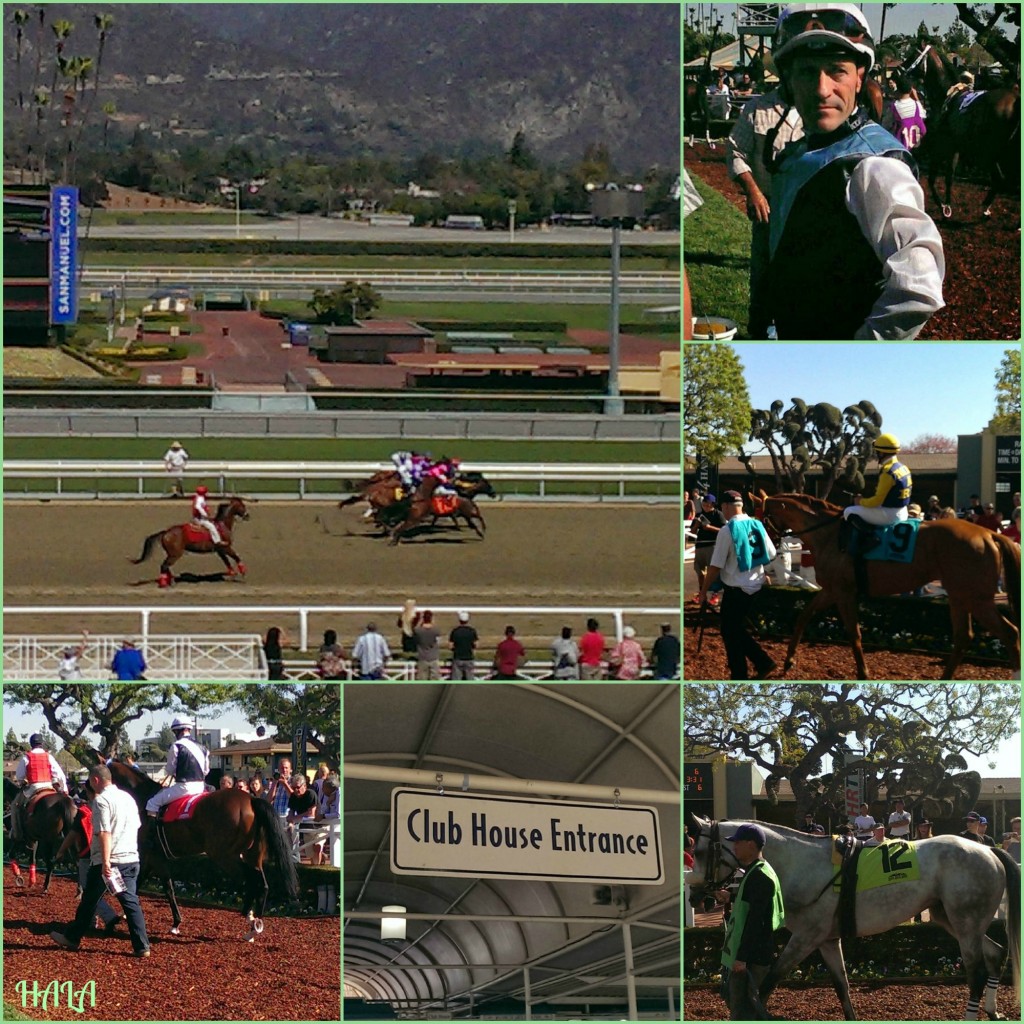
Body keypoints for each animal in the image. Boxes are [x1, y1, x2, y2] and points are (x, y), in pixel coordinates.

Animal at [692, 815, 1019, 1024]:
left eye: (699, 850)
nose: (696, 897)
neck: (803, 866)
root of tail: (988, 850)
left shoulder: (806, 937)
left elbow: (769, 981)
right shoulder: (826, 939)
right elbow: (842, 986)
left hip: (966, 922)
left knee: (976, 972)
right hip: (952, 919)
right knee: (996, 954)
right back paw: (993, 1011)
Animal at [765, 493, 1019, 679]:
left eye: (760, 515)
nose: (767, 546)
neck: (829, 535)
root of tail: (988, 534)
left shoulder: (844, 593)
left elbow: (853, 633)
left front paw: (863, 673)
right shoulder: (831, 591)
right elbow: (803, 616)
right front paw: (788, 661)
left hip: (975, 598)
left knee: (1008, 632)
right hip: (961, 596)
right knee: (965, 637)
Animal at [909, 39, 1019, 218]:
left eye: (913, 55)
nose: (898, 71)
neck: (946, 95)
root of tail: (1016, 99)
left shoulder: (941, 146)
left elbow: (933, 178)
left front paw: (942, 206)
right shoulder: (955, 147)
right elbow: (949, 176)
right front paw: (947, 205)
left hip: (989, 151)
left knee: (999, 178)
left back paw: (986, 206)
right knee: (1000, 179)